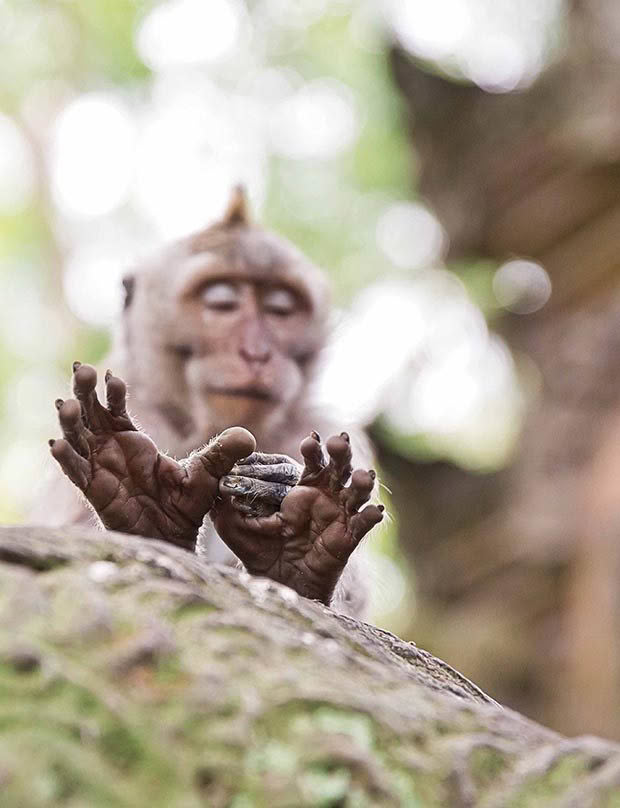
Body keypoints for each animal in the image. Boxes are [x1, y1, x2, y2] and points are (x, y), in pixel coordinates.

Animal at [43, 186, 380, 608]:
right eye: (222, 302)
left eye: (280, 309)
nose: (256, 352)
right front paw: (143, 505)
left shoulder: (320, 427)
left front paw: (300, 536)